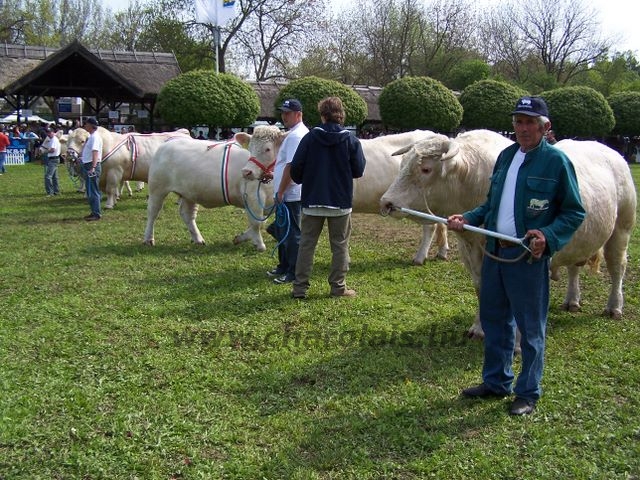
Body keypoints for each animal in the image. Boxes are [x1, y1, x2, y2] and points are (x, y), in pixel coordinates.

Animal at [142, 132, 272, 251]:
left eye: (268, 149)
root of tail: (166, 144)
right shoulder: (253, 197)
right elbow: (257, 223)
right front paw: (259, 245)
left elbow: (262, 222)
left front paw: (240, 238)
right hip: (157, 188)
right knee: (153, 212)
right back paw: (148, 239)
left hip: (189, 193)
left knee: (187, 214)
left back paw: (198, 239)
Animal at [238, 126, 448, 262]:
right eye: (250, 148)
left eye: (267, 149)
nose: (246, 171)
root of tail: (435, 135)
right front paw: (244, 237)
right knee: (440, 224)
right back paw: (442, 251)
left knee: (430, 227)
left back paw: (420, 257)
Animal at [380, 127, 636, 338]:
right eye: (402, 165)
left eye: (425, 169)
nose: (387, 202)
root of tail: (613, 153)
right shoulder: (470, 251)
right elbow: (481, 288)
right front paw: (480, 328)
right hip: (581, 238)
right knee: (575, 267)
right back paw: (572, 300)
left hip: (621, 229)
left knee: (617, 267)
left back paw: (614, 306)